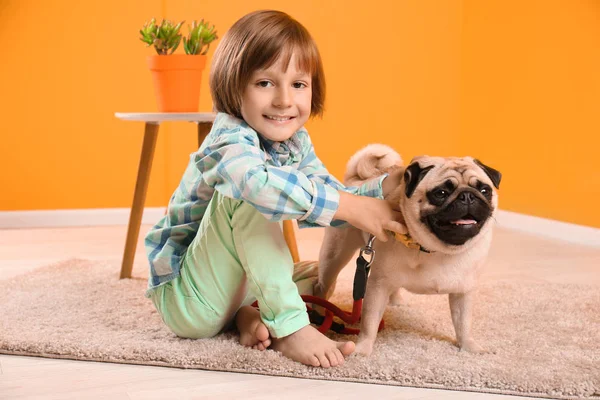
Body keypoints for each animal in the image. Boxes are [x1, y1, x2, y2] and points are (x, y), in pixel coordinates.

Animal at [314, 145, 502, 356]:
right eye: (441, 193)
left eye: (485, 190)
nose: (467, 196)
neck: (437, 250)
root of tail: (357, 179)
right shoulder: (378, 286)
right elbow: (370, 322)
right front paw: (363, 348)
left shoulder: (464, 292)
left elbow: (463, 323)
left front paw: (469, 346)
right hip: (335, 254)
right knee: (322, 286)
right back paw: (319, 313)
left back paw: (396, 300)